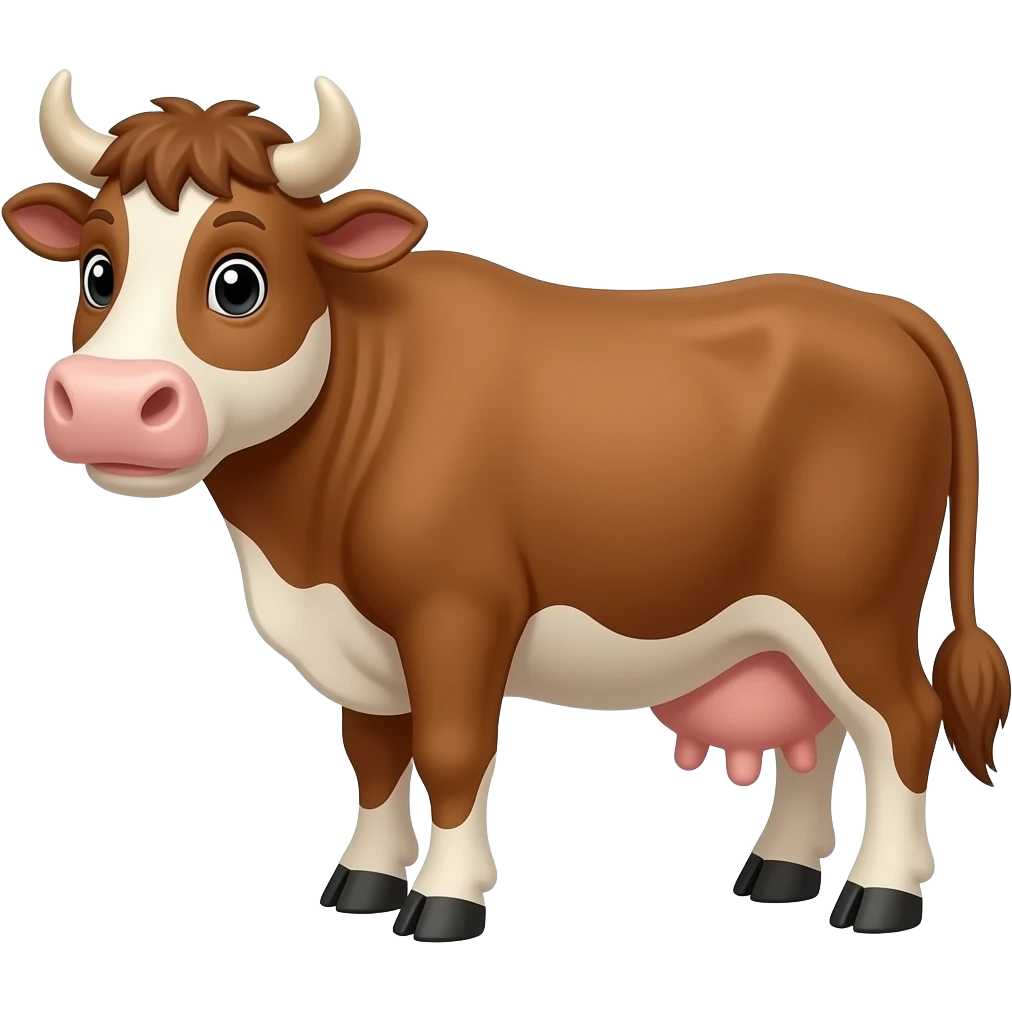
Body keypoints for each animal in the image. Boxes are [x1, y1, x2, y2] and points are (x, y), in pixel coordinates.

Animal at [7, 70, 1008, 943]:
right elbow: (374, 754)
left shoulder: (457, 610)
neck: (299, 539)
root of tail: (886, 314)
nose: (106, 401)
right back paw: (783, 870)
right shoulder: (365, 641)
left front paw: (447, 902)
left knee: (901, 721)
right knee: (829, 726)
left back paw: (880, 896)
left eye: (239, 281)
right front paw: (362, 883)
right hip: (789, 618)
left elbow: (451, 751)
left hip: (853, 603)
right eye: (97, 271)